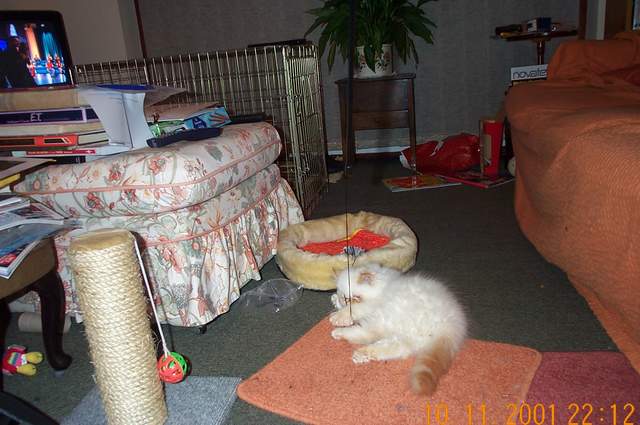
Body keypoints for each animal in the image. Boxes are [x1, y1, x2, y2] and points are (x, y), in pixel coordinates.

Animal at [329, 263, 468, 395]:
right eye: (344, 298)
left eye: (356, 298)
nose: (346, 302)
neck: (383, 286)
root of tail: (449, 327)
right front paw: (335, 300)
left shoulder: (371, 305)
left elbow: (353, 311)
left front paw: (338, 316)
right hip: (408, 336)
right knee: (391, 347)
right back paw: (361, 354)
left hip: (387, 318)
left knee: (369, 333)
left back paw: (341, 334)